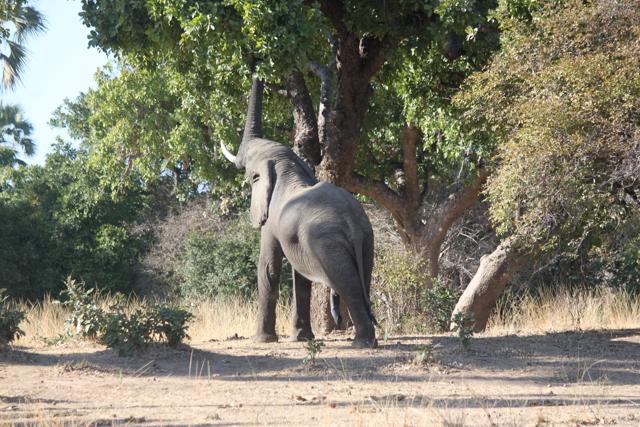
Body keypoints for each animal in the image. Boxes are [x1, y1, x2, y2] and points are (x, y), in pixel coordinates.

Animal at [220, 77, 377, 348]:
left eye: (250, 174)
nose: (258, 70)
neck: (286, 166)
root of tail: (354, 225)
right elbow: (300, 279)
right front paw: (301, 338)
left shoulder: (270, 222)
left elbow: (268, 268)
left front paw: (262, 341)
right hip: (367, 241)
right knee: (362, 279)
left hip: (328, 244)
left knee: (349, 286)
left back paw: (362, 344)